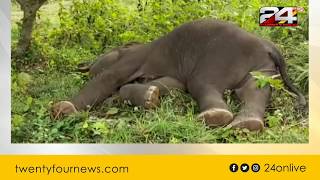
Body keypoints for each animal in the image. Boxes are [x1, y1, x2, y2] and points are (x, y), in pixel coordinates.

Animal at [51, 19, 306, 131]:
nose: (85, 66)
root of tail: (269, 46)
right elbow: (171, 85)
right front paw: (151, 96)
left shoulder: (133, 58)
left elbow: (111, 77)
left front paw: (62, 109)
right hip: (263, 69)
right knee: (253, 90)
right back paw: (247, 124)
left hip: (220, 59)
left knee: (202, 83)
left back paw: (216, 117)